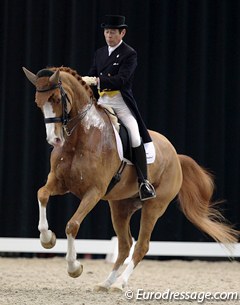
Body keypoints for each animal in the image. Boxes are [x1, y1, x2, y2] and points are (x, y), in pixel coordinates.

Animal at [22, 66, 238, 290]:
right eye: (38, 103)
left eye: (57, 99)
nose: (54, 140)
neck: (80, 138)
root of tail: (176, 156)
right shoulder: (59, 182)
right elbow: (42, 194)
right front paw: (47, 239)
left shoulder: (94, 192)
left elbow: (72, 225)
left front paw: (74, 267)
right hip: (120, 206)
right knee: (125, 245)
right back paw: (106, 283)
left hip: (154, 206)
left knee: (141, 245)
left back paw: (119, 284)